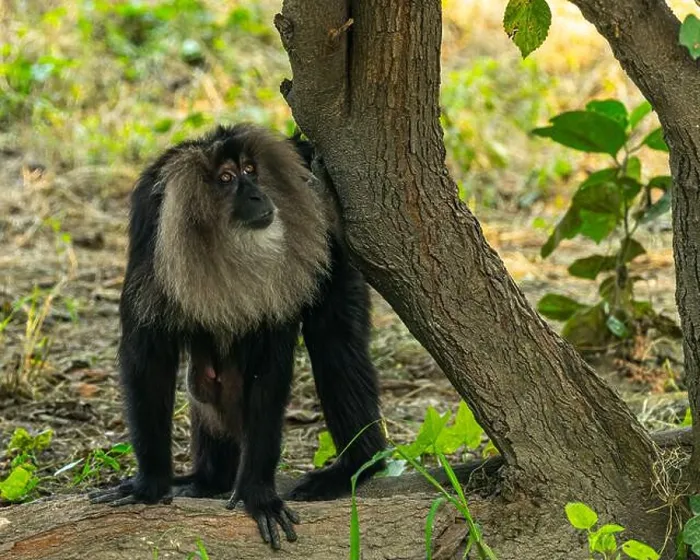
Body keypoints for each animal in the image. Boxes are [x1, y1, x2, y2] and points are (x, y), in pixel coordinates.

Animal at [88, 123, 386, 550]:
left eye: (250, 171)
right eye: (227, 178)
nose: (258, 195)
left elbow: (271, 369)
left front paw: (258, 494)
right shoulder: (151, 228)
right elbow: (148, 360)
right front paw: (149, 484)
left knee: (334, 342)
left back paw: (356, 464)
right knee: (207, 383)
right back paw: (208, 480)